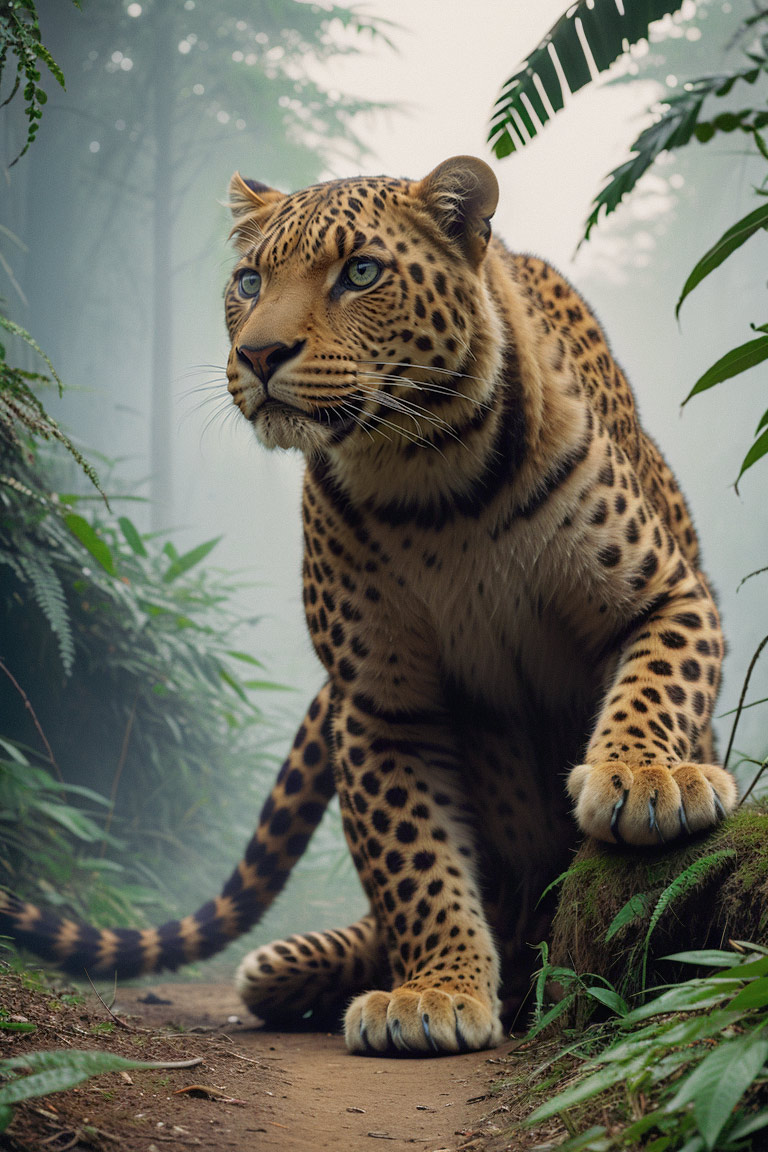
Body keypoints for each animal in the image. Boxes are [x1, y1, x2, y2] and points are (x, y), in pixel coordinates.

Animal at [0, 156, 737, 1056]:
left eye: (359, 274)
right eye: (249, 281)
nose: (258, 353)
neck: (429, 475)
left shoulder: (667, 592)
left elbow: (654, 687)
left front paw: (645, 779)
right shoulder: (381, 699)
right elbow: (412, 859)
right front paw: (434, 992)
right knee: (278, 964)